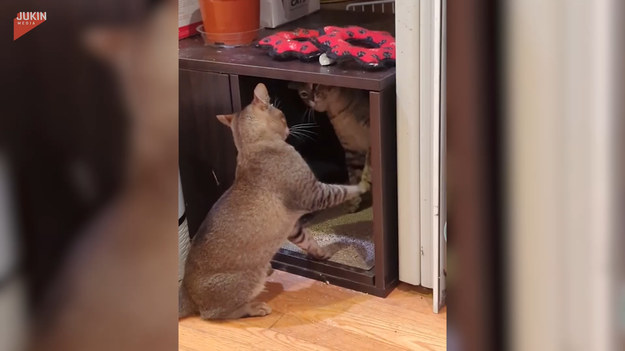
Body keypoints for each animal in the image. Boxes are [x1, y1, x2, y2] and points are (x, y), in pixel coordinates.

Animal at [236, 77, 376, 274]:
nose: (312, 99)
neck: (341, 113)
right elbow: (353, 176)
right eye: (303, 94)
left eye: (316, 85)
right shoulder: (351, 151)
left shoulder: (370, 137)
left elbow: (367, 167)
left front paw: (365, 182)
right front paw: (353, 202)